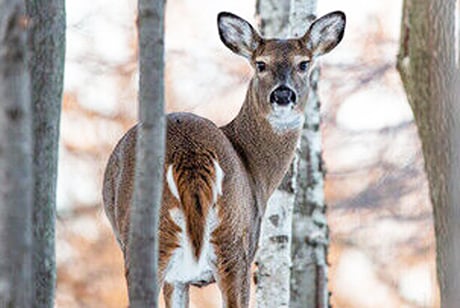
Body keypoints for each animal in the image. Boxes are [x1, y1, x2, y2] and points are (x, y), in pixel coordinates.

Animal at [101, 10, 344, 306]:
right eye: (261, 64)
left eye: (303, 64)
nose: (283, 94)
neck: (255, 170)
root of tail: (189, 151)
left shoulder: (178, 278)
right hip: (232, 241)